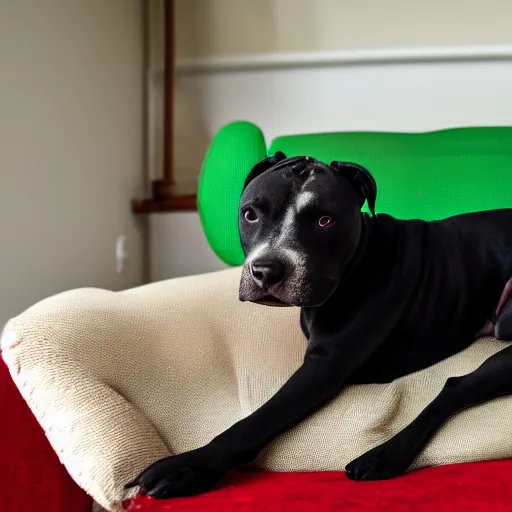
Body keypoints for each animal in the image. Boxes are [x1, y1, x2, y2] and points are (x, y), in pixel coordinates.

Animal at [127, 154, 512, 498]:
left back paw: (382, 456)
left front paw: (191, 466)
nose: (266, 271)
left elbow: (260, 418)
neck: (357, 261)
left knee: (455, 388)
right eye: (250, 214)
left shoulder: (326, 366)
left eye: (325, 221)